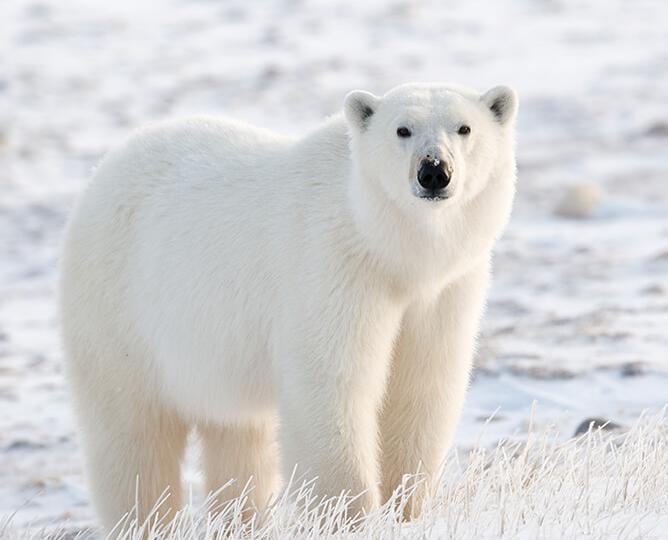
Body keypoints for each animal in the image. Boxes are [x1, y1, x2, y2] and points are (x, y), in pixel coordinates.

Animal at [59, 82, 518, 532]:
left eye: (464, 128)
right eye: (402, 129)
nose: (434, 171)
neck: (390, 250)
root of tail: (106, 167)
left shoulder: (443, 291)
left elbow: (420, 386)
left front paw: (406, 510)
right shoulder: (333, 268)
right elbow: (332, 385)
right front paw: (349, 517)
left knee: (237, 438)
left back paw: (242, 521)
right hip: (120, 313)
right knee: (133, 437)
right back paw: (146, 521)